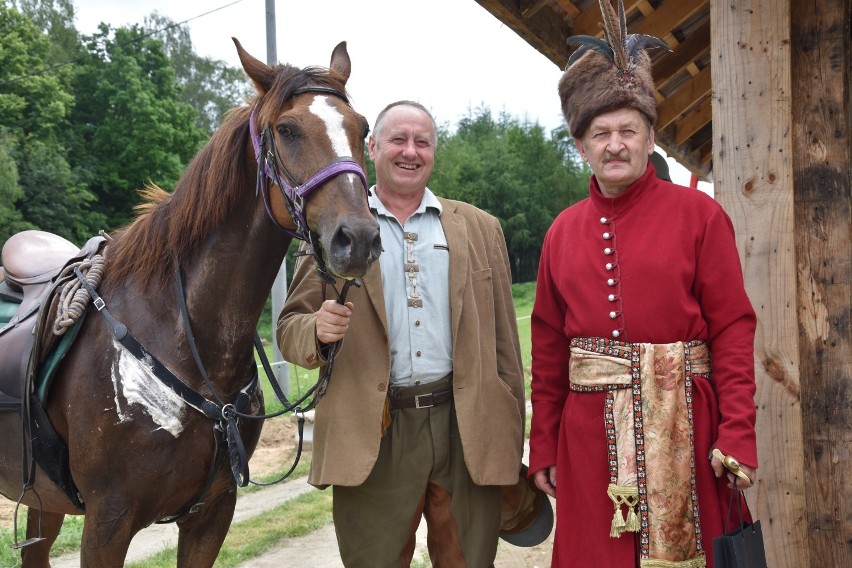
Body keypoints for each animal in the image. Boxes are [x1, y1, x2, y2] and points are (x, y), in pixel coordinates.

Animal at [0, 37, 382, 564]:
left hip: (43, 501)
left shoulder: (211, 514)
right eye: (286, 130)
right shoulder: (107, 524)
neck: (182, 332)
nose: (358, 238)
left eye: (361, 128)